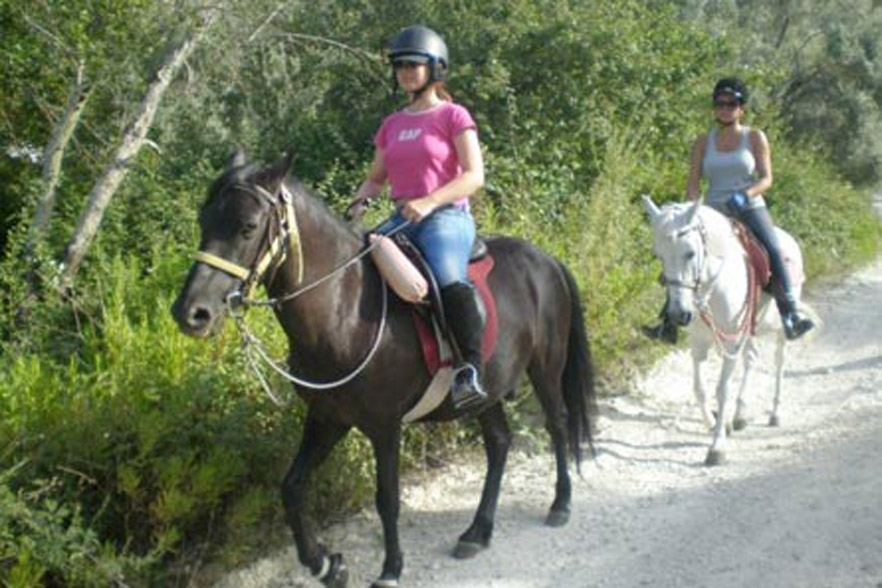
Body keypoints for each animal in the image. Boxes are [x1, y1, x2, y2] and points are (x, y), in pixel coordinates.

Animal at [171, 151, 597, 587]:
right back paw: (477, 531)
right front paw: (326, 564)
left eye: (248, 227)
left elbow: (387, 498)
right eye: (204, 220)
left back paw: (560, 504)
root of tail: (546, 260)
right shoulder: (327, 418)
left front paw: (390, 568)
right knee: (499, 443)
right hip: (486, 391)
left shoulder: (384, 425)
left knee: (558, 423)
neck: (344, 307)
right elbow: (291, 487)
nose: (191, 313)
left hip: (546, 368)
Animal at [642, 196, 808, 466]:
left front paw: (717, 446)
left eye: (690, 253)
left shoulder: (731, 342)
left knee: (779, 363)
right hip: (747, 330)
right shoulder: (699, 341)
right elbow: (699, 389)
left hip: (779, 331)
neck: (713, 286)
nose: (678, 314)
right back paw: (740, 415)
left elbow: (722, 390)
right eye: (659, 256)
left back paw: (775, 413)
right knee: (751, 359)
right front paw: (713, 423)